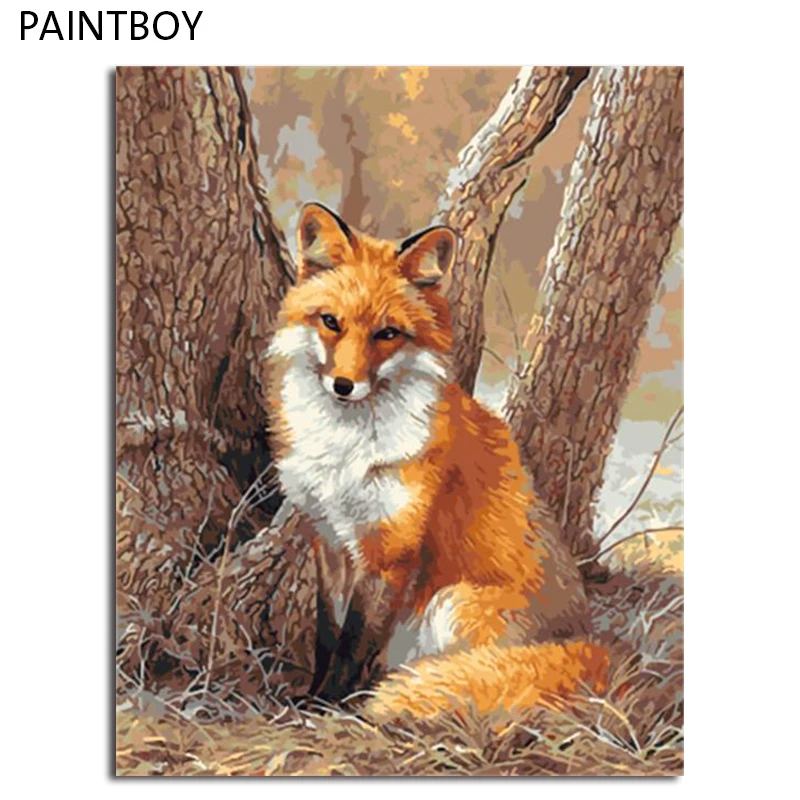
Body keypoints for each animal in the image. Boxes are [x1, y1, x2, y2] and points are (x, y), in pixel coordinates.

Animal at [263, 202, 609, 721]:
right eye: (331, 322)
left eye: (387, 334)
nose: (343, 385)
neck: (345, 451)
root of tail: (589, 643)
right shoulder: (329, 538)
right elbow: (328, 634)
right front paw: (313, 694)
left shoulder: (390, 551)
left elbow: (353, 642)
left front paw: (328, 705)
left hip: (453, 602)